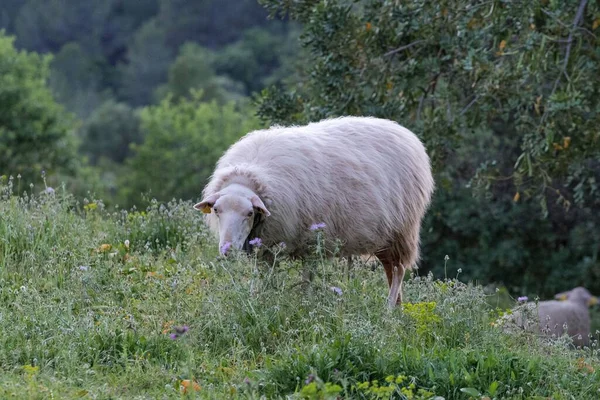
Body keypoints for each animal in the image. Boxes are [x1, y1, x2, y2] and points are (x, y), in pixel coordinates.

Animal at [195, 115, 434, 306]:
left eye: (250, 213)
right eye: (216, 210)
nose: (227, 250)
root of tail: (405, 133)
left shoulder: (311, 243)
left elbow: (306, 282)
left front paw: (304, 306)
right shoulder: (265, 248)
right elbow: (261, 280)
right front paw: (258, 302)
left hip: (402, 230)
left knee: (399, 270)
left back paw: (388, 310)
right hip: (383, 236)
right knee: (390, 269)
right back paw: (399, 310)